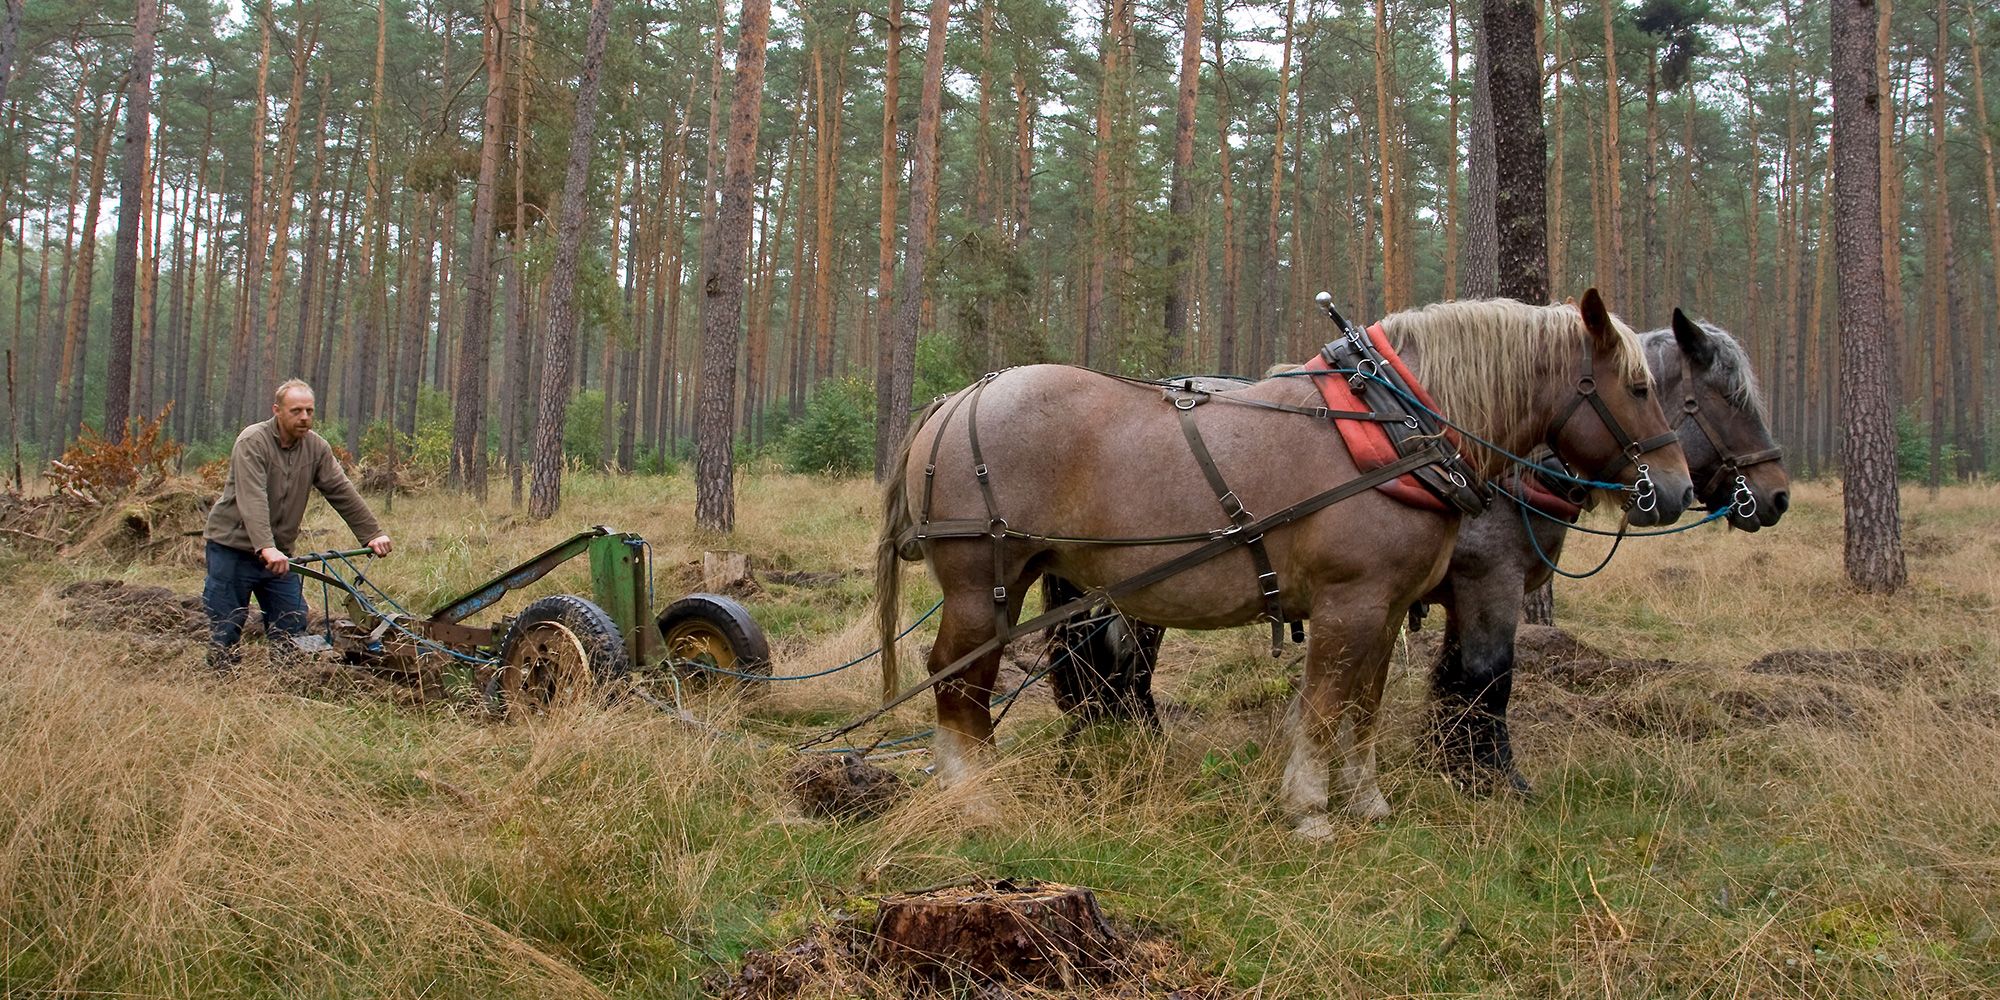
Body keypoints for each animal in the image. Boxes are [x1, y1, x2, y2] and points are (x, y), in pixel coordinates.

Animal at [875, 291, 1695, 835]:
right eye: (1640, 387)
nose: (1677, 489)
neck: (1392, 430)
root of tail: (956, 399)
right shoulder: (1348, 602)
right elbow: (1324, 706)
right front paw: (1308, 810)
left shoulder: (1386, 609)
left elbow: (1363, 710)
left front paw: (1366, 802)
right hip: (983, 583)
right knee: (958, 682)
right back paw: (974, 799)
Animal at [1425, 309, 1791, 794]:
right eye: (1733, 398)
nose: (1779, 496)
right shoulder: (1490, 584)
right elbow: (1490, 679)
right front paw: (1498, 777)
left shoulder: (1463, 598)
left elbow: (1450, 679)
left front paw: (1447, 764)